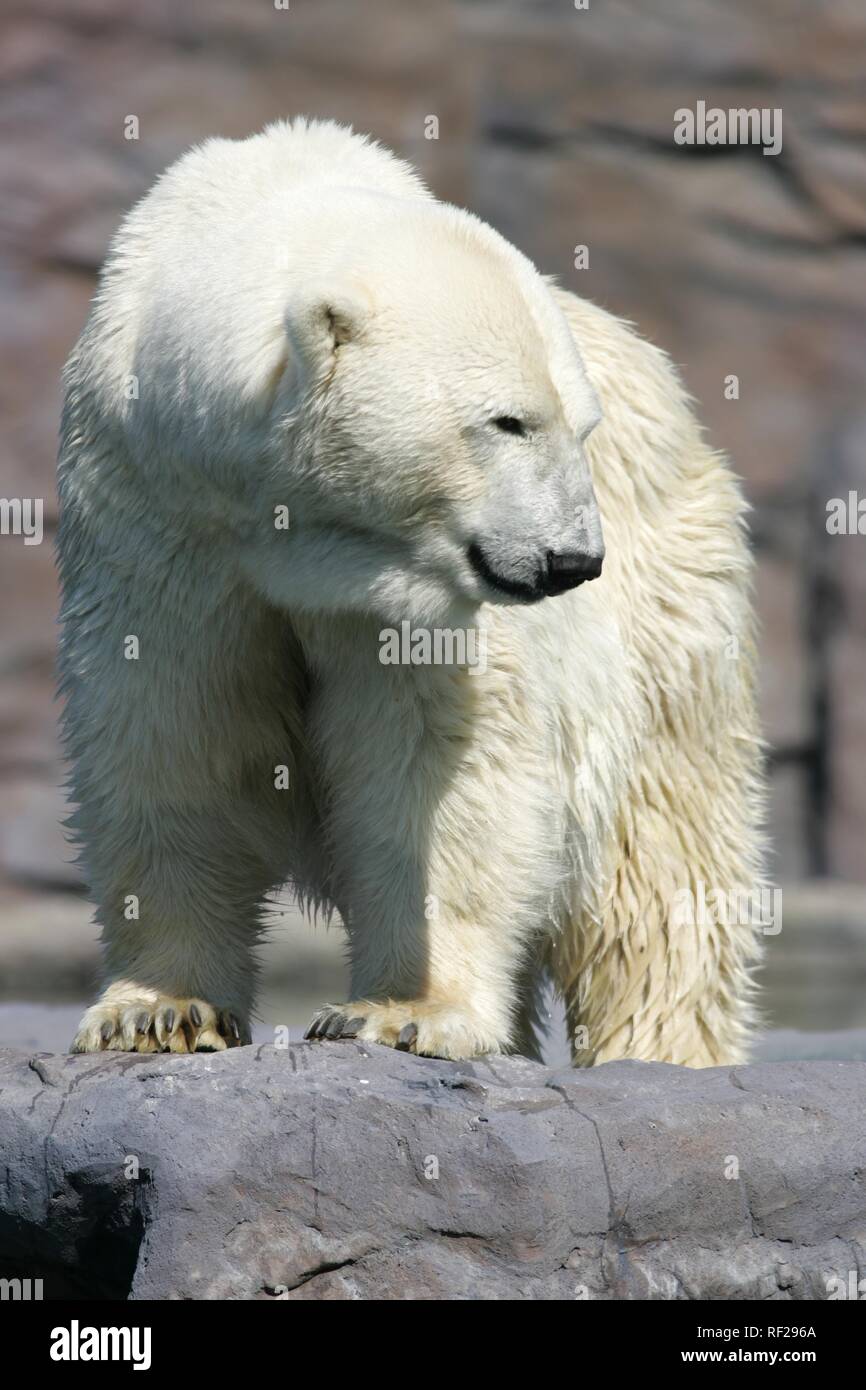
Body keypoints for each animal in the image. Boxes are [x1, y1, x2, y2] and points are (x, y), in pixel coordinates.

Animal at [61, 116, 767, 1061]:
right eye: (508, 421)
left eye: (580, 427)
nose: (574, 561)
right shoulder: (155, 512)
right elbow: (173, 729)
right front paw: (159, 1010)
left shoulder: (415, 599)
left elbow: (434, 760)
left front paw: (403, 1012)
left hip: (669, 610)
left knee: (659, 859)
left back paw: (658, 1051)